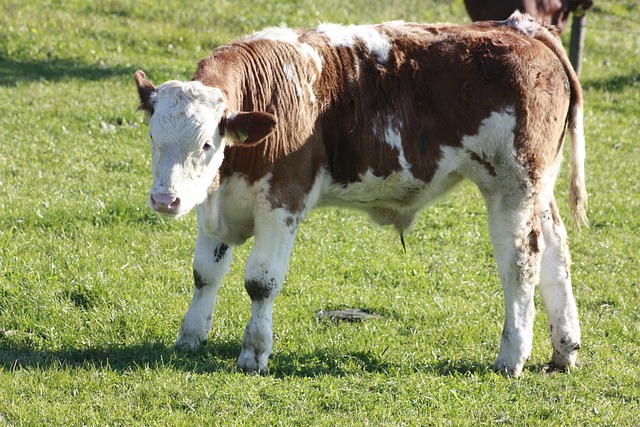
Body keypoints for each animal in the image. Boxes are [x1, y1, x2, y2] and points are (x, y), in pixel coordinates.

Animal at [134, 11, 587, 377]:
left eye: (206, 144)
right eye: (153, 138)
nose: (165, 200)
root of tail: (521, 28)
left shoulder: (283, 200)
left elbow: (261, 281)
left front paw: (254, 352)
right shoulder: (213, 202)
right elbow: (204, 273)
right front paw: (190, 338)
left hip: (513, 185)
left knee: (521, 262)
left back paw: (512, 356)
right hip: (537, 187)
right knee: (555, 250)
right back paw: (564, 348)